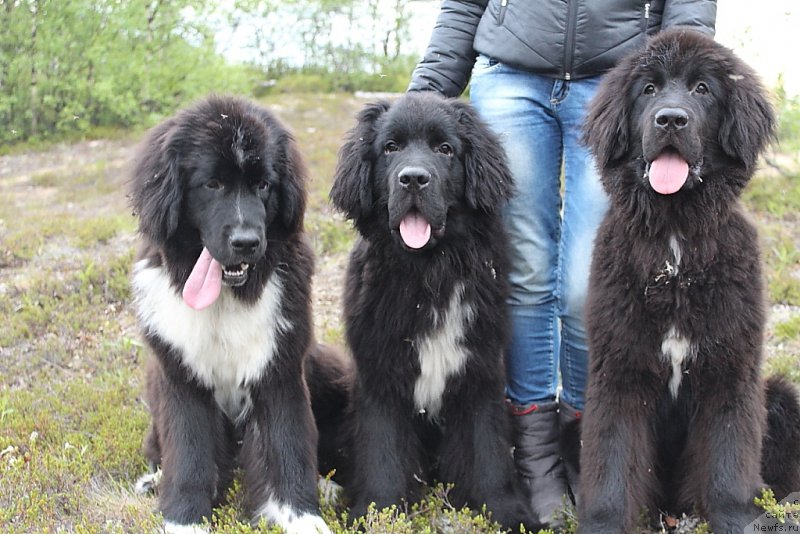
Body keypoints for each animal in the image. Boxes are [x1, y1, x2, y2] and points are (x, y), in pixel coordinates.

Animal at [130, 96, 330, 534]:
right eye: (212, 184)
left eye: (264, 185)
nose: (246, 242)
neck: (226, 299)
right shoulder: (181, 378)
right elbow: (188, 452)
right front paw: (185, 519)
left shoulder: (280, 369)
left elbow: (288, 444)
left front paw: (302, 516)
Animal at [328, 92, 548, 532]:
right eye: (390, 148)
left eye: (445, 149)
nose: (413, 179)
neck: (428, 272)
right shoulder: (379, 373)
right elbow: (381, 449)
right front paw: (377, 512)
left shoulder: (480, 369)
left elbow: (488, 452)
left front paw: (508, 513)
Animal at [576, 28, 800, 534]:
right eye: (648, 89)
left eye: (702, 89)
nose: (671, 119)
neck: (675, 248)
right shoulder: (619, 371)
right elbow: (612, 462)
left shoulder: (731, 370)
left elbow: (727, 463)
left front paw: (736, 520)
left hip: (781, 395)